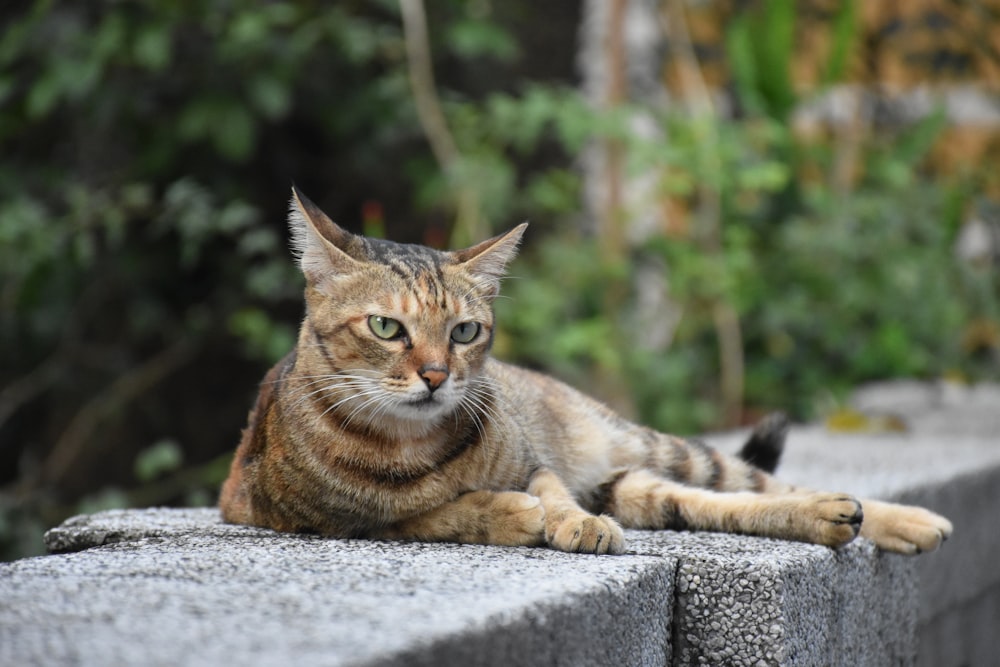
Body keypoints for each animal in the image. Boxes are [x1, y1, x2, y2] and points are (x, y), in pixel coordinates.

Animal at [219, 185, 952, 556]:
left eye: (464, 331)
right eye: (385, 328)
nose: (434, 375)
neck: (408, 445)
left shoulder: (535, 461)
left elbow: (547, 493)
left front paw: (569, 522)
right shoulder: (327, 522)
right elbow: (439, 513)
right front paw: (507, 514)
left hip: (646, 449)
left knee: (757, 485)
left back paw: (894, 518)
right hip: (637, 484)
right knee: (710, 504)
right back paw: (837, 517)